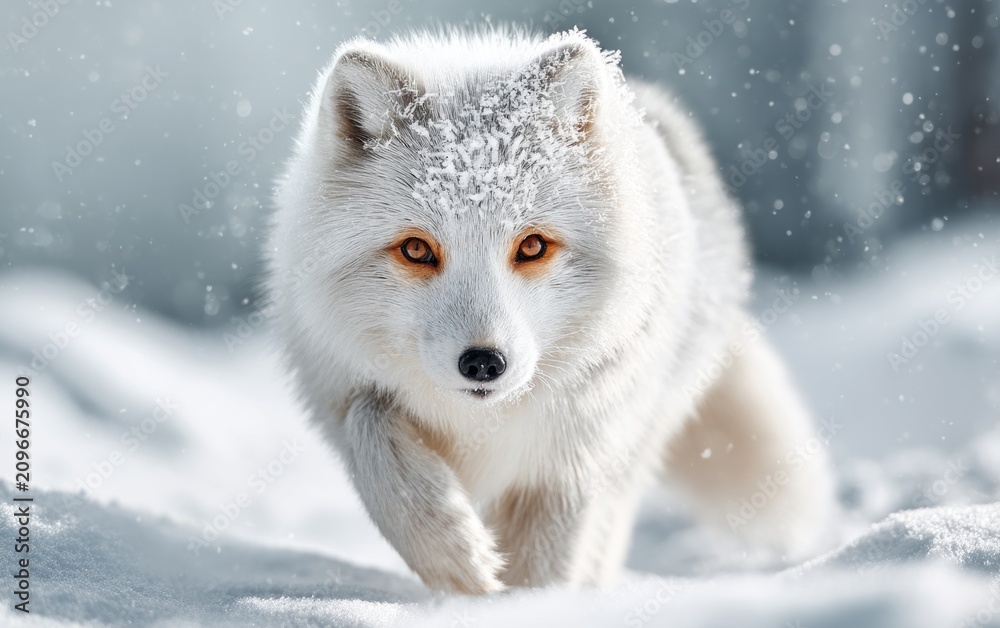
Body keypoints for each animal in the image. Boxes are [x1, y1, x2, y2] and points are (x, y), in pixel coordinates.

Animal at [266, 27, 836, 594]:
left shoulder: (569, 460)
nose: (483, 364)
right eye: (416, 249)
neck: (483, 423)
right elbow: (370, 428)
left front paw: (527, 605)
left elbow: (544, 570)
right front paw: (456, 557)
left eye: (533, 246)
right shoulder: (342, 387)